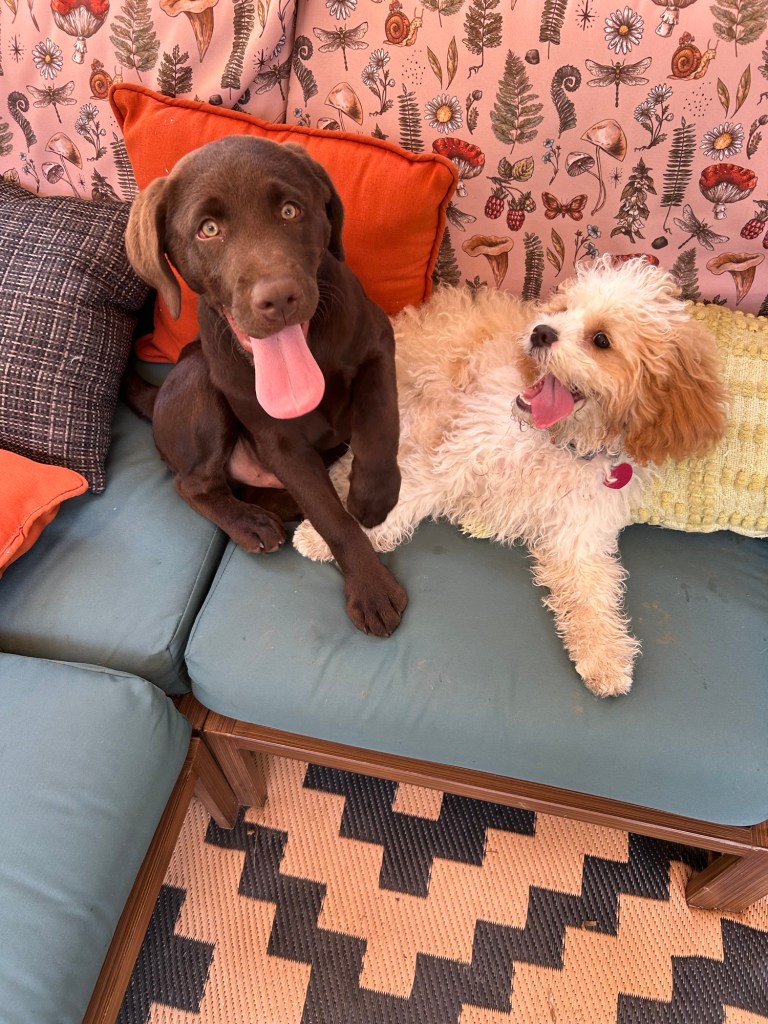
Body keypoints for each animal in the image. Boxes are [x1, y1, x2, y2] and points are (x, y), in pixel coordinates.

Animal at [124, 135, 407, 637]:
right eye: (208, 229)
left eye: (291, 211)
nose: (278, 298)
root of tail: (156, 397)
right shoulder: (279, 439)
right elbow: (332, 519)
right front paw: (372, 589)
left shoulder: (377, 342)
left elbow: (380, 422)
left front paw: (373, 495)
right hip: (201, 383)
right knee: (192, 484)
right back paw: (251, 524)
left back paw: (280, 505)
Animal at [293, 257, 727, 695]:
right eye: (563, 309)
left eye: (602, 339)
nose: (541, 331)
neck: (562, 442)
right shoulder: (455, 455)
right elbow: (404, 494)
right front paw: (321, 537)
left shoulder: (580, 534)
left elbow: (593, 590)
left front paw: (606, 656)